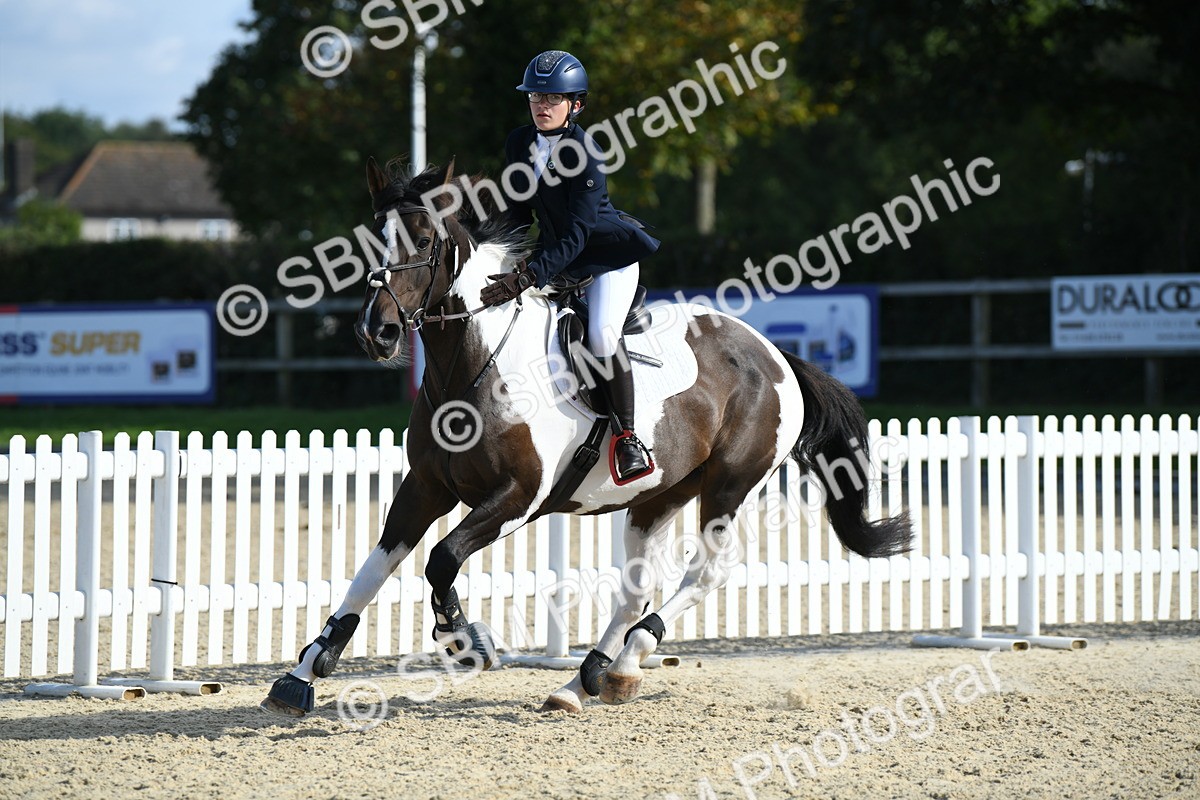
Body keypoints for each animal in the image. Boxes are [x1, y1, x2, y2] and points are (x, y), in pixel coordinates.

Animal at [260, 158, 912, 716]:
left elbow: (442, 559)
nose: (379, 332)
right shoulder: (424, 488)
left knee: (703, 575)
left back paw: (625, 660)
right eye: (371, 241)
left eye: (423, 241)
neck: (470, 365)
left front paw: (466, 641)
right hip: (659, 494)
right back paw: (589, 678)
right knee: (637, 588)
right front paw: (303, 673)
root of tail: (774, 354)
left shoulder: (518, 498)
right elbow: (372, 571)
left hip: (729, 485)